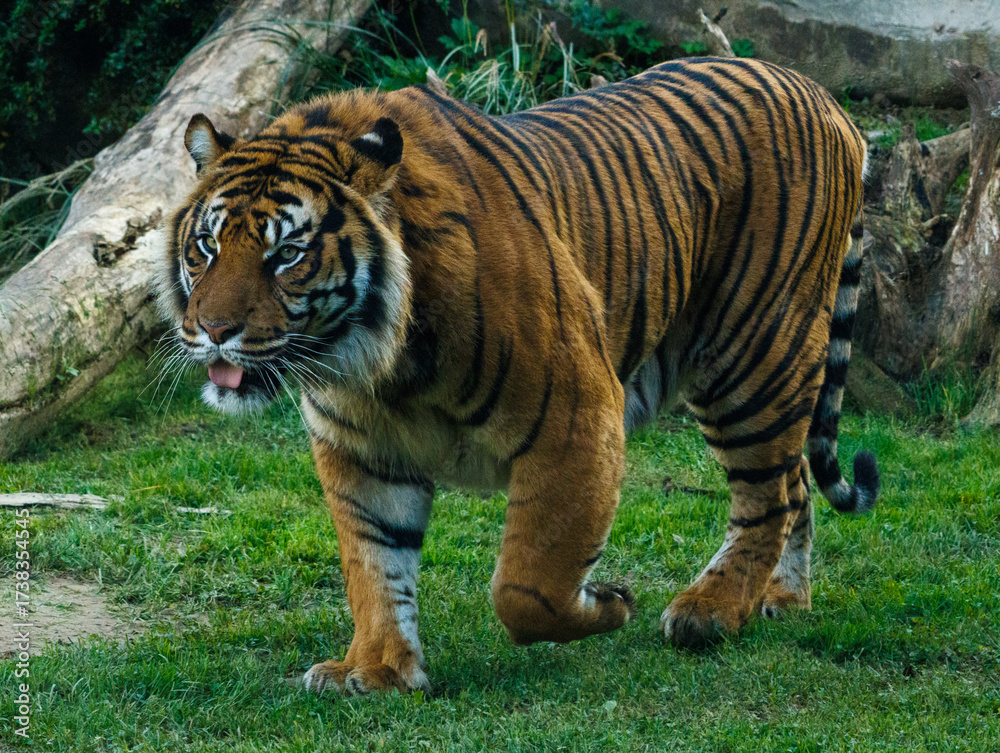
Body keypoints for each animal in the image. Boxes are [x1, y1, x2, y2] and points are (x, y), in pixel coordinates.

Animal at [157, 56, 880, 695]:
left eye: (286, 255)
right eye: (207, 247)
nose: (213, 329)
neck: (377, 364)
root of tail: (825, 97)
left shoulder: (578, 418)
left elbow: (526, 586)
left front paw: (610, 602)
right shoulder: (362, 452)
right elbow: (373, 564)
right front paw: (378, 670)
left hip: (751, 354)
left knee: (770, 494)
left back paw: (712, 611)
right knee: (794, 479)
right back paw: (781, 597)